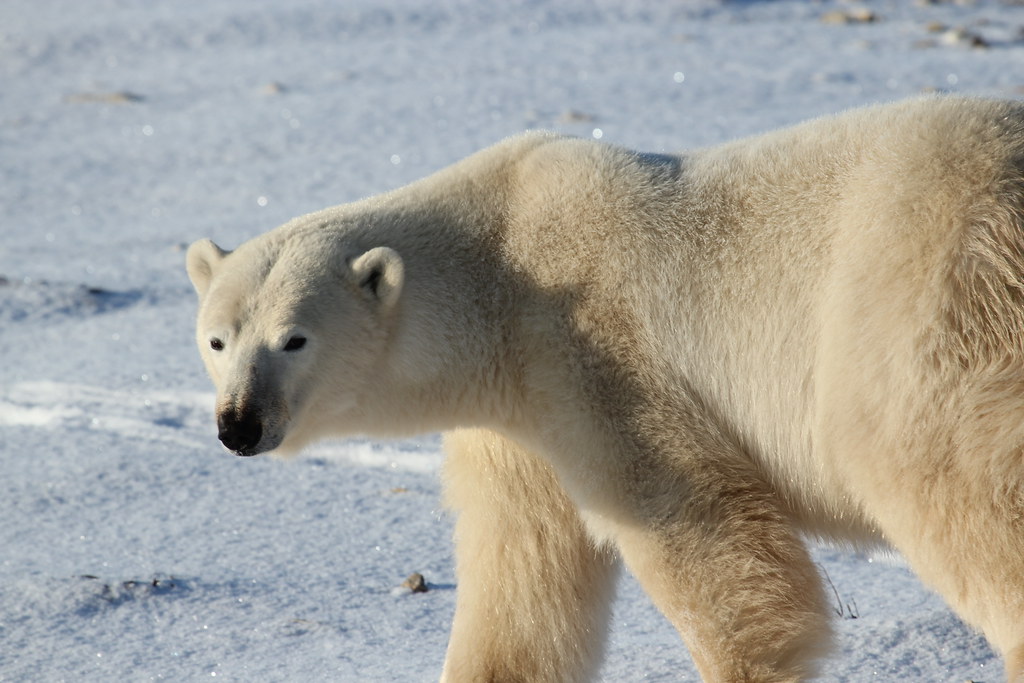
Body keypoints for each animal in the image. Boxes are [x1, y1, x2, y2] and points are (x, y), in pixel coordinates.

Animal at [186, 95, 1024, 682]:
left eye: (295, 338)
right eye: (217, 338)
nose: (239, 423)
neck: (499, 265)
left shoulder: (593, 356)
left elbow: (698, 526)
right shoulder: (514, 417)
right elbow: (525, 578)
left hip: (917, 289)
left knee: (936, 470)